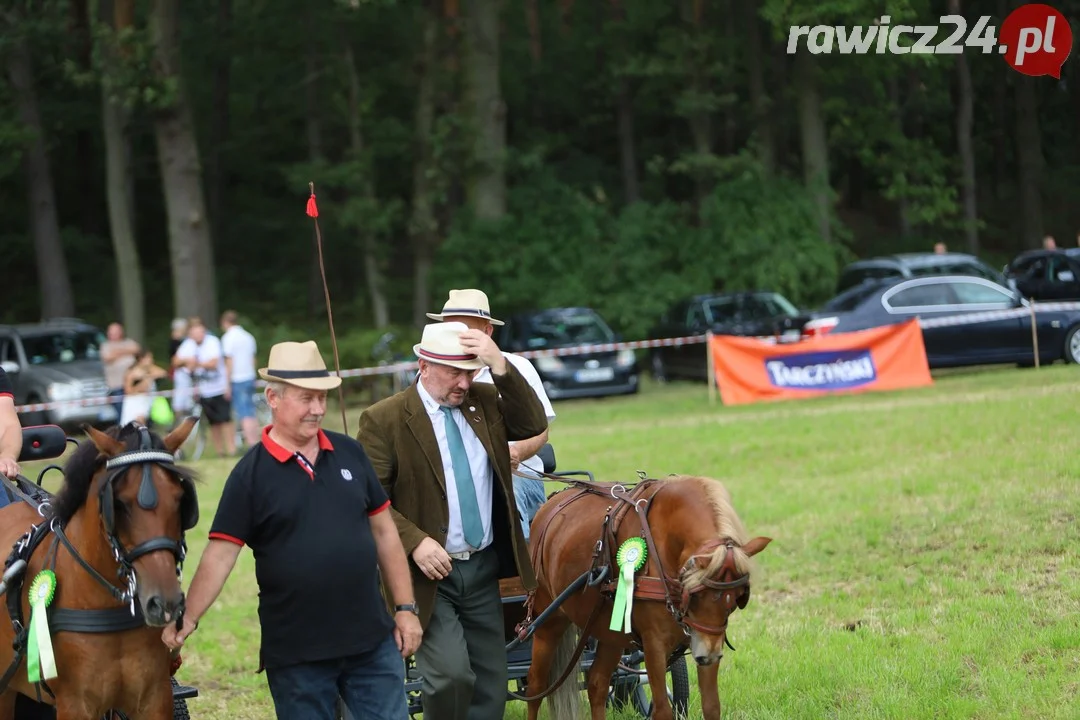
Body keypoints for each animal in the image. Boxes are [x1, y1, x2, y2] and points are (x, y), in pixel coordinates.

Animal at [520, 472, 768, 720]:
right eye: (696, 596)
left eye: (736, 599)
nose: (707, 656)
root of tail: (549, 505)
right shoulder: (654, 644)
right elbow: (663, 710)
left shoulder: (705, 638)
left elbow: (712, 706)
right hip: (548, 621)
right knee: (536, 686)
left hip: (610, 631)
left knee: (597, 684)